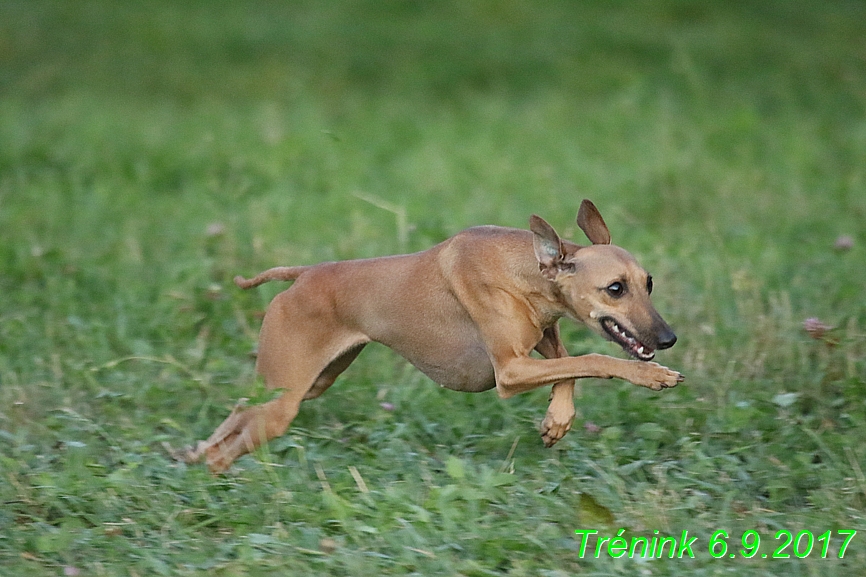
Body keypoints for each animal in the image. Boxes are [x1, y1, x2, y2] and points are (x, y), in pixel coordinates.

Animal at [186, 200, 680, 470]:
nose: (667, 338)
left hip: (306, 383)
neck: (523, 270)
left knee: (236, 414)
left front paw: (557, 420)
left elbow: (570, 368)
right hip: (283, 402)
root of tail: (304, 274)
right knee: (230, 445)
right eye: (615, 288)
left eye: (649, 283)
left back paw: (195, 453)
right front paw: (653, 377)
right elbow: (595, 361)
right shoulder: (510, 371)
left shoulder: (542, 340)